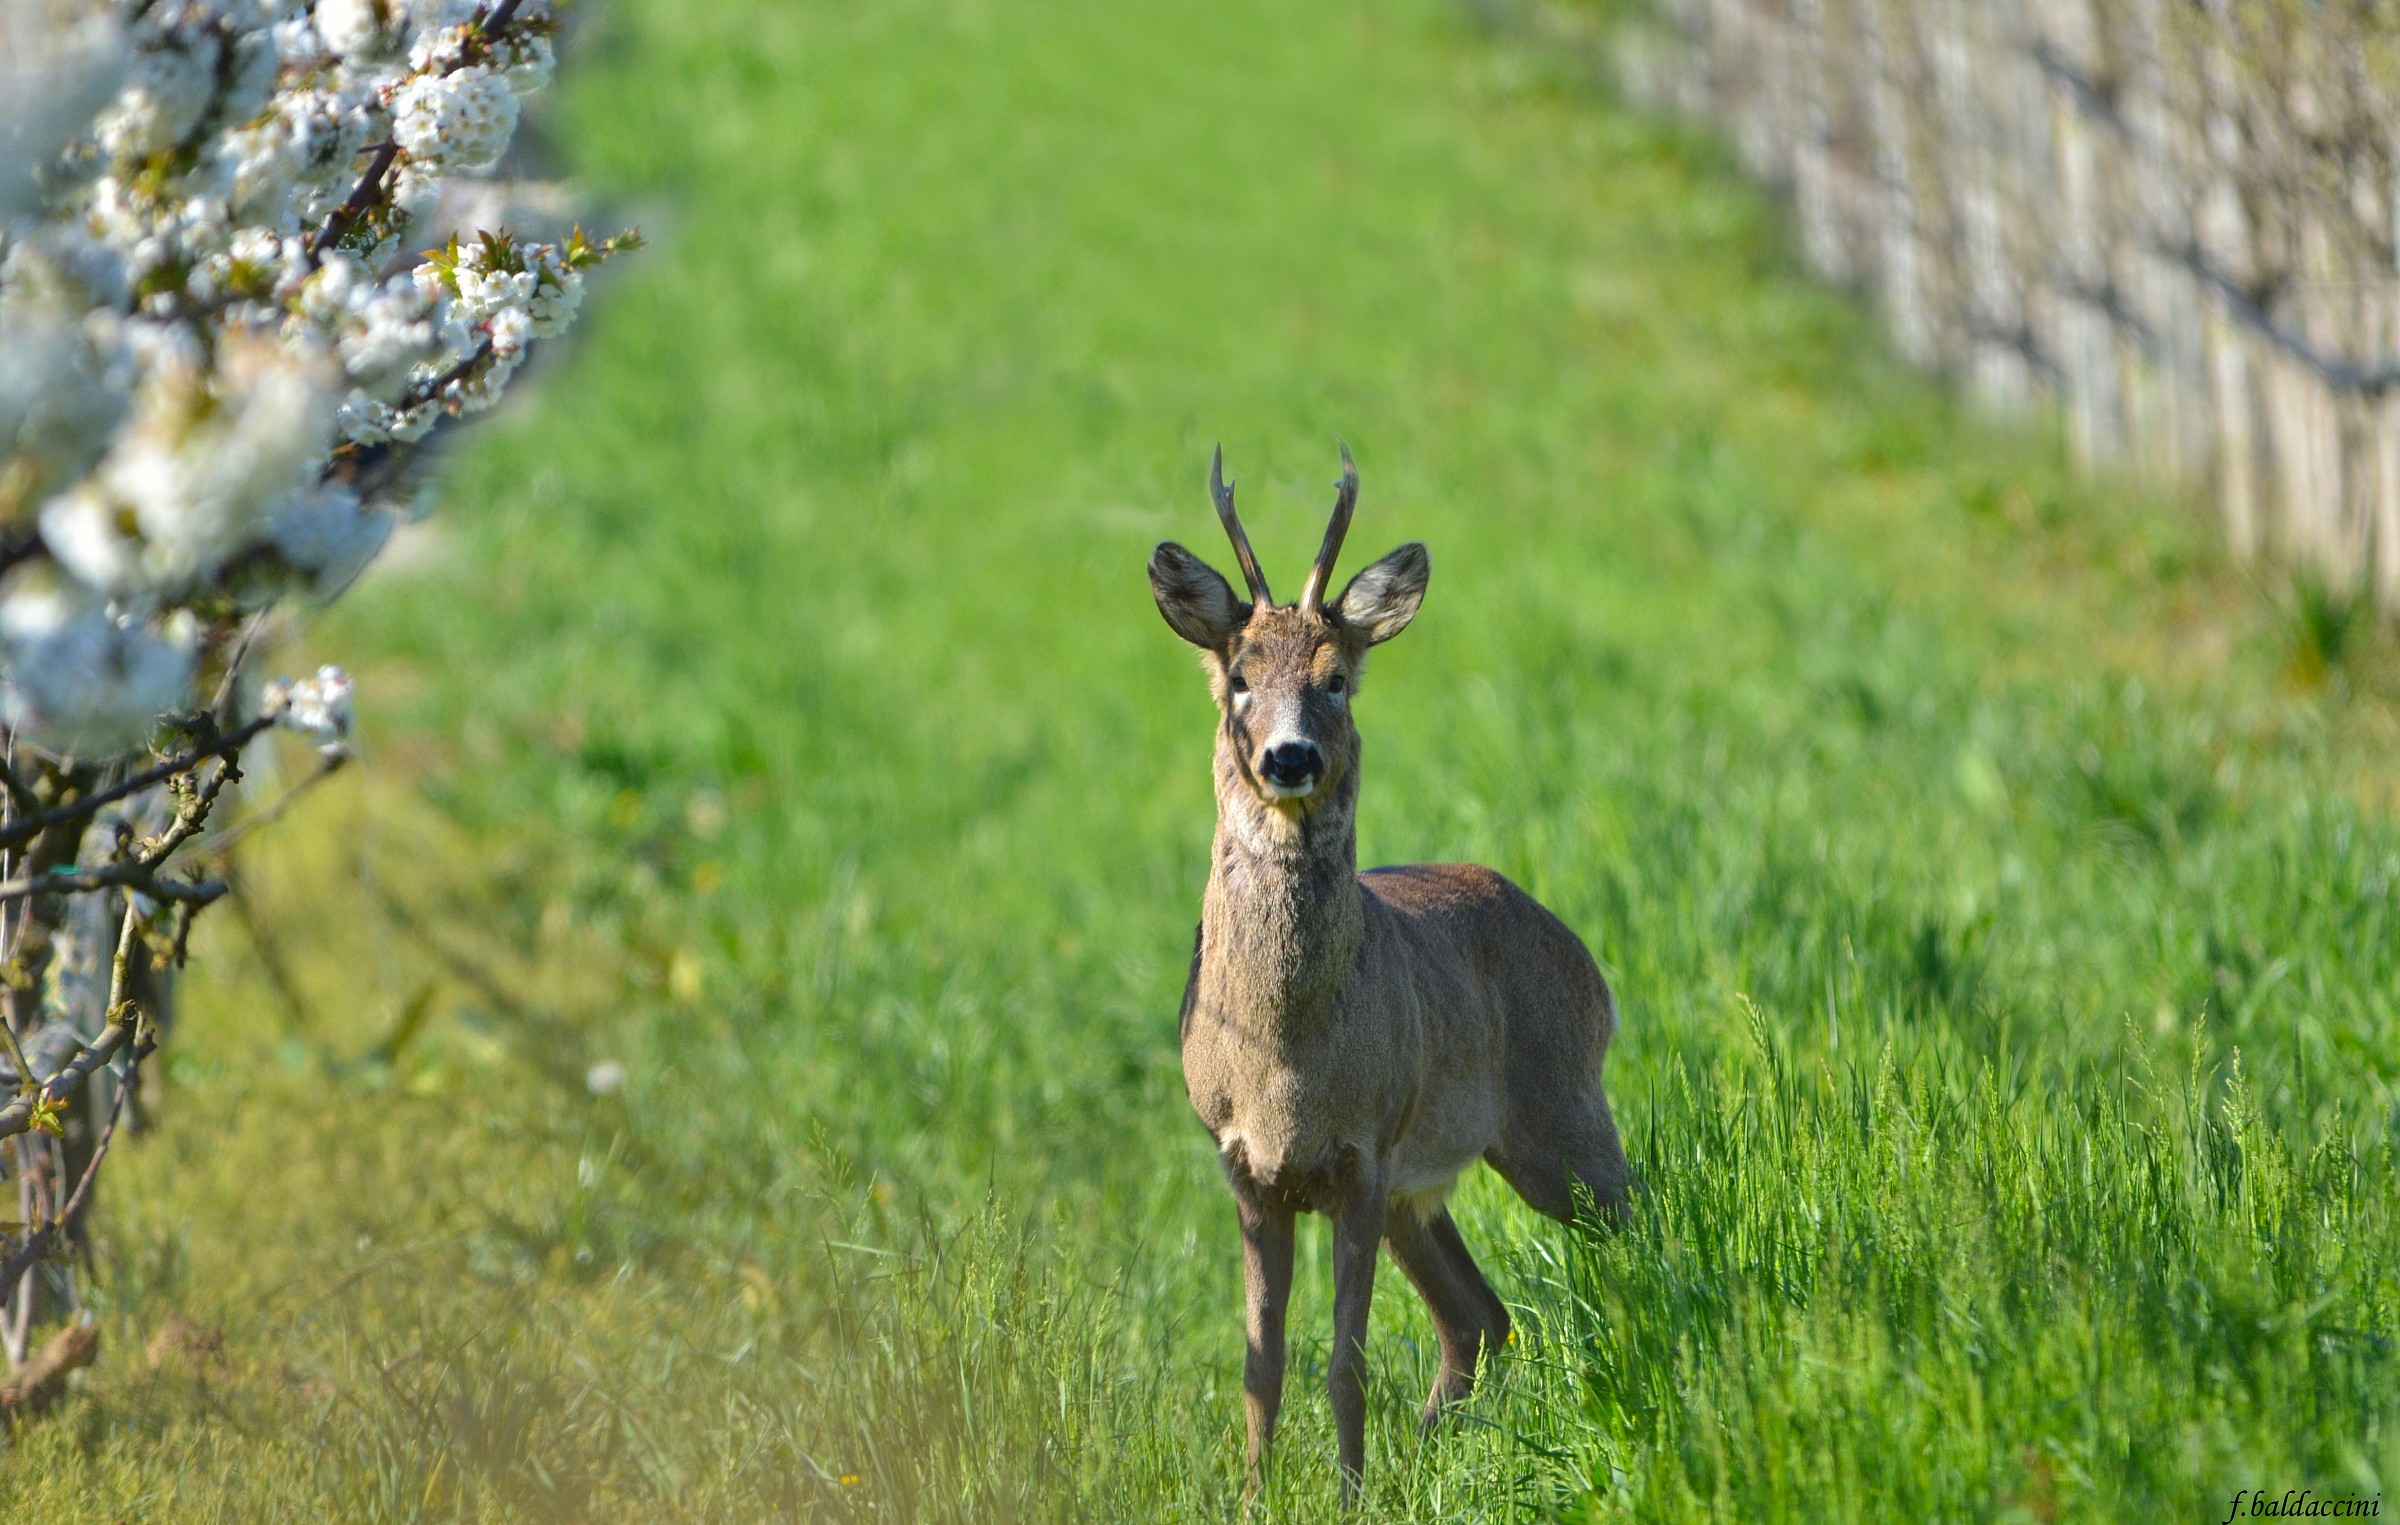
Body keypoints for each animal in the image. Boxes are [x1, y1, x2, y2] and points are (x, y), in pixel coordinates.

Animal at [1147, 444, 1632, 1505]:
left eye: (1337, 679)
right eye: (1239, 676)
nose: (1289, 757)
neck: (1285, 1065)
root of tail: (1589, 966)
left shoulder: (1362, 1153)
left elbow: (1345, 1361)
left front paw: (1345, 1497)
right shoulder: (1246, 1163)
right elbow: (1262, 1361)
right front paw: (1254, 1498)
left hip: (1557, 1111)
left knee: (1638, 1222)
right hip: (1429, 1183)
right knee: (1481, 1318)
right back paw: (1421, 1459)